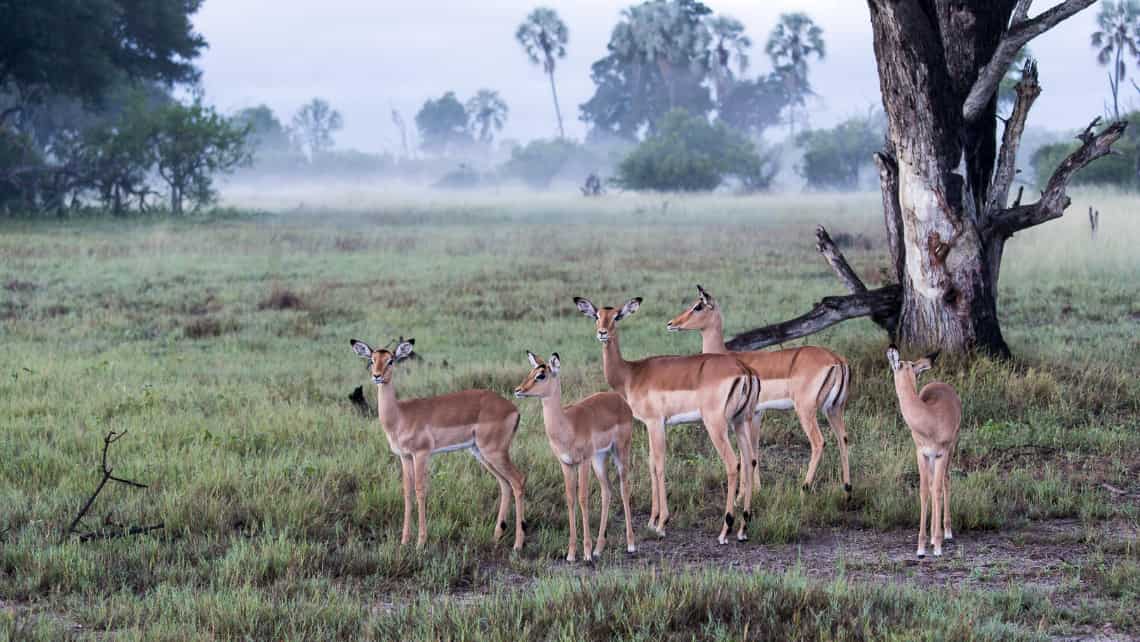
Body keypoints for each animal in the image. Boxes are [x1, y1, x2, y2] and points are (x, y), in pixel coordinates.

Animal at [348, 339, 526, 549]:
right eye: (372, 359)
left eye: (391, 360)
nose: (377, 376)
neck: (400, 415)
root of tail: (513, 408)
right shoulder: (405, 456)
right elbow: (407, 492)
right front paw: (404, 541)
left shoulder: (421, 454)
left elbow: (420, 490)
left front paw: (420, 542)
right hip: (481, 453)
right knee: (505, 484)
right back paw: (496, 536)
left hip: (494, 452)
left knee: (518, 480)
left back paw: (518, 544)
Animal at [515, 351, 638, 563]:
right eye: (531, 372)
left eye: (541, 375)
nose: (518, 390)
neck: (567, 425)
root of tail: (620, 401)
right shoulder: (566, 463)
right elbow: (570, 499)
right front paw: (572, 553)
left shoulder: (583, 461)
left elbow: (582, 498)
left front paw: (586, 553)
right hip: (599, 459)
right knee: (607, 490)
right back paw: (599, 548)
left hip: (620, 452)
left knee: (624, 487)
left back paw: (630, 545)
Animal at [574, 294, 761, 542]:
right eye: (597, 315)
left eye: (617, 316)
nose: (602, 332)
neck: (631, 374)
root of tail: (743, 370)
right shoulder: (651, 425)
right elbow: (651, 464)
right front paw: (652, 521)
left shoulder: (655, 423)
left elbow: (660, 464)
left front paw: (662, 522)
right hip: (740, 421)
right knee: (749, 461)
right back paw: (743, 527)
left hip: (716, 425)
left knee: (733, 463)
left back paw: (725, 530)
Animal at [665, 286, 852, 497]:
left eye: (698, 306)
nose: (671, 323)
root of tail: (836, 360)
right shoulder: (756, 413)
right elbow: (754, 451)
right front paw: (756, 489)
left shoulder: (744, 416)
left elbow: (745, 454)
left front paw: (741, 495)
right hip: (834, 408)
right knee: (843, 439)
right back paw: (847, 488)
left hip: (806, 410)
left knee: (819, 442)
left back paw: (804, 487)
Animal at [884, 344, 957, 561]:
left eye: (897, 364)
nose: (890, 350)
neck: (930, 419)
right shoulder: (921, 454)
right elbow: (925, 491)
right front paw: (922, 548)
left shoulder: (941, 453)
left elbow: (938, 490)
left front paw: (938, 547)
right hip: (931, 459)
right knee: (933, 485)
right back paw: (933, 537)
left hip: (951, 450)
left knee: (945, 481)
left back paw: (946, 533)